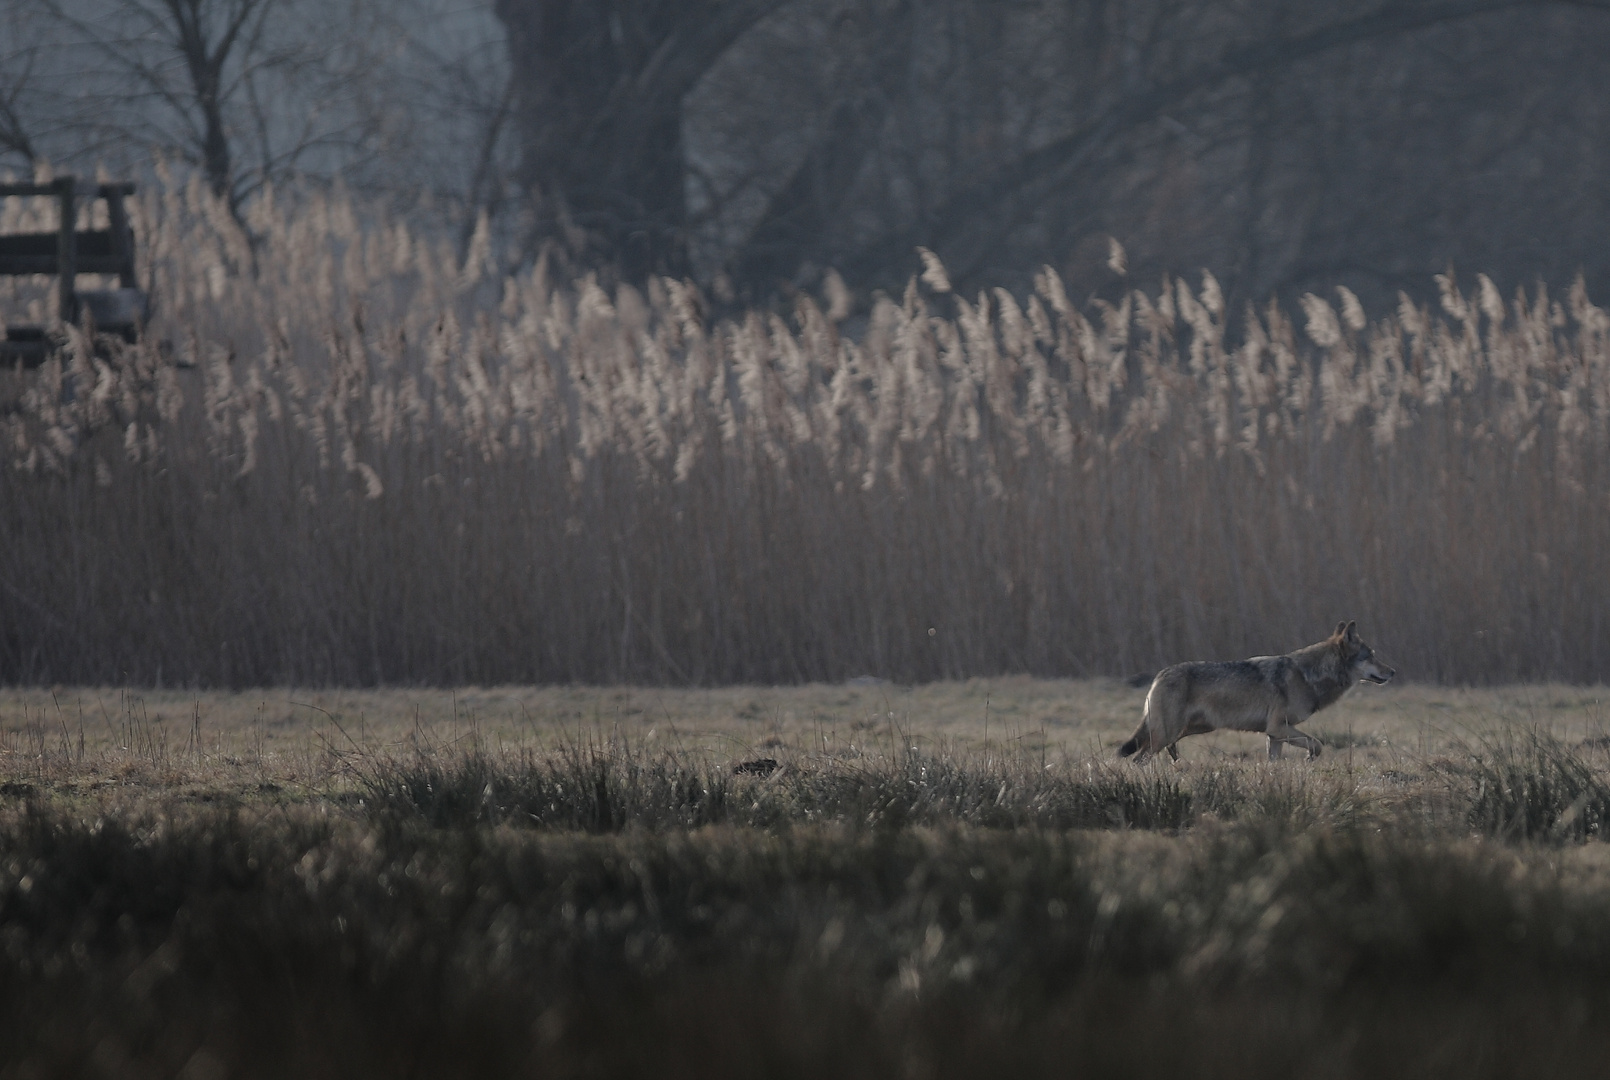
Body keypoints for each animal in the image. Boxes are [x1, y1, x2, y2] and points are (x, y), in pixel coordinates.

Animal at [1120, 621, 1397, 766]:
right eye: (1370, 655)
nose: (1393, 671)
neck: (1308, 675)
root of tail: (1160, 674)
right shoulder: (1278, 728)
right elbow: (1318, 744)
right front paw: (1309, 760)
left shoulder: (1274, 735)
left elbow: (1275, 762)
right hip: (1169, 732)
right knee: (1139, 758)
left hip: (1192, 729)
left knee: (1161, 751)